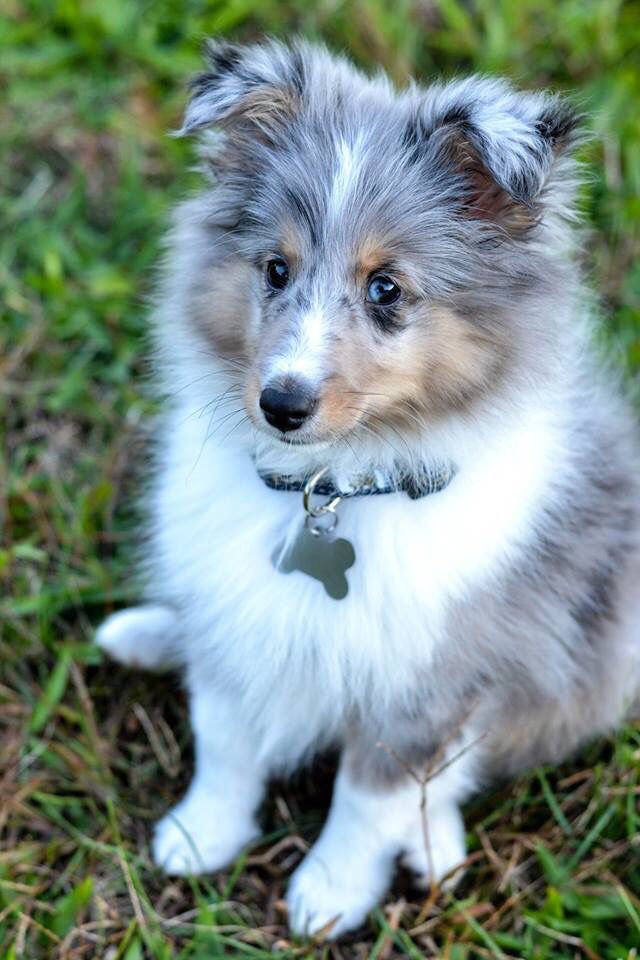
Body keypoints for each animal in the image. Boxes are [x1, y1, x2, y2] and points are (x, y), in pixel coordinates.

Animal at [95, 39, 640, 936]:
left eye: (387, 288)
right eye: (275, 269)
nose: (280, 404)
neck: (335, 490)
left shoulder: (427, 683)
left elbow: (369, 794)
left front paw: (328, 895)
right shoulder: (238, 613)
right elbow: (224, 738)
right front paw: (198, 836)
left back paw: (435, 847)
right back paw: (144, 633)